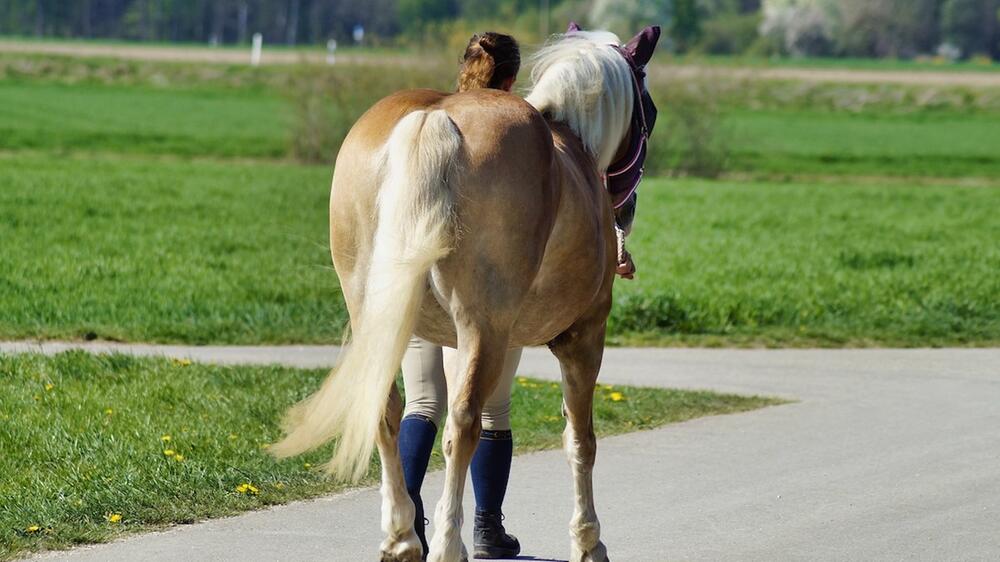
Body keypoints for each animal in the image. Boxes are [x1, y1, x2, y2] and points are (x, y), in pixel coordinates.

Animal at [274, 26, 660, 560]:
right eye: (651, 111)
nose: (630, 209)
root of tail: (434, 118)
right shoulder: (583, 338)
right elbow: (580, 440)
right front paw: (588, 541)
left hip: (387, 321)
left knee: (390, 412)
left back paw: (403, 536)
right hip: (485, 329)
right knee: (464, 425)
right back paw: (447, 543)